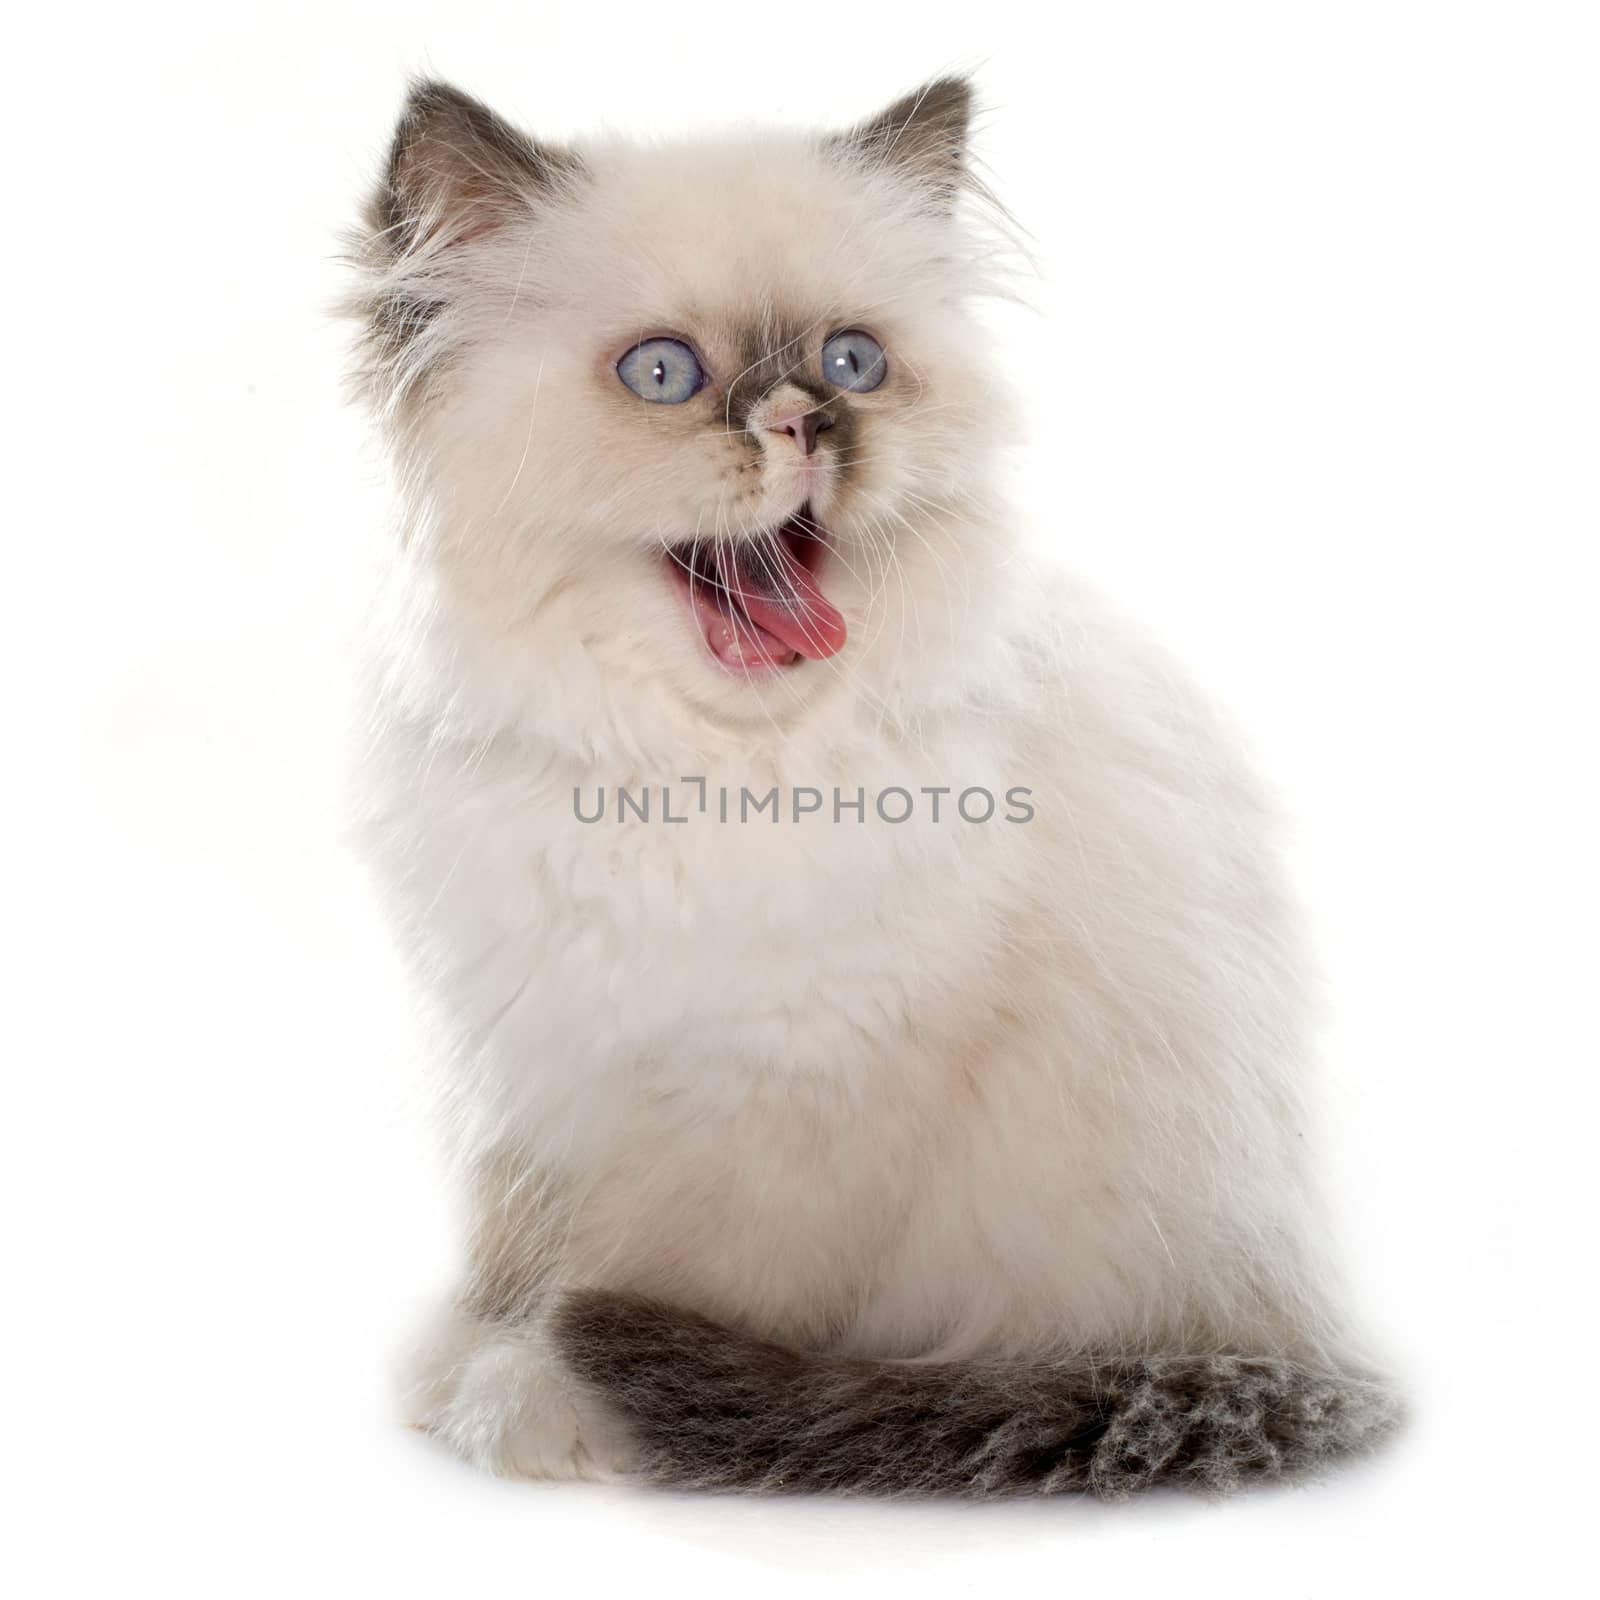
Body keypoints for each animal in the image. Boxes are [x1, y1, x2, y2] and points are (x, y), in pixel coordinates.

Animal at [340, 78, 1401, 1497]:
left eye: (852, 363)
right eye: (663, 376)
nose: (804, 419)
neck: (699, 769)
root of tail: (1305, 1327)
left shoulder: (783, 1100)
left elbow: (631, 1283)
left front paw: (552, 1402)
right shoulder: (532, 1058)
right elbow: (518, 1256)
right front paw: (464, 1367)